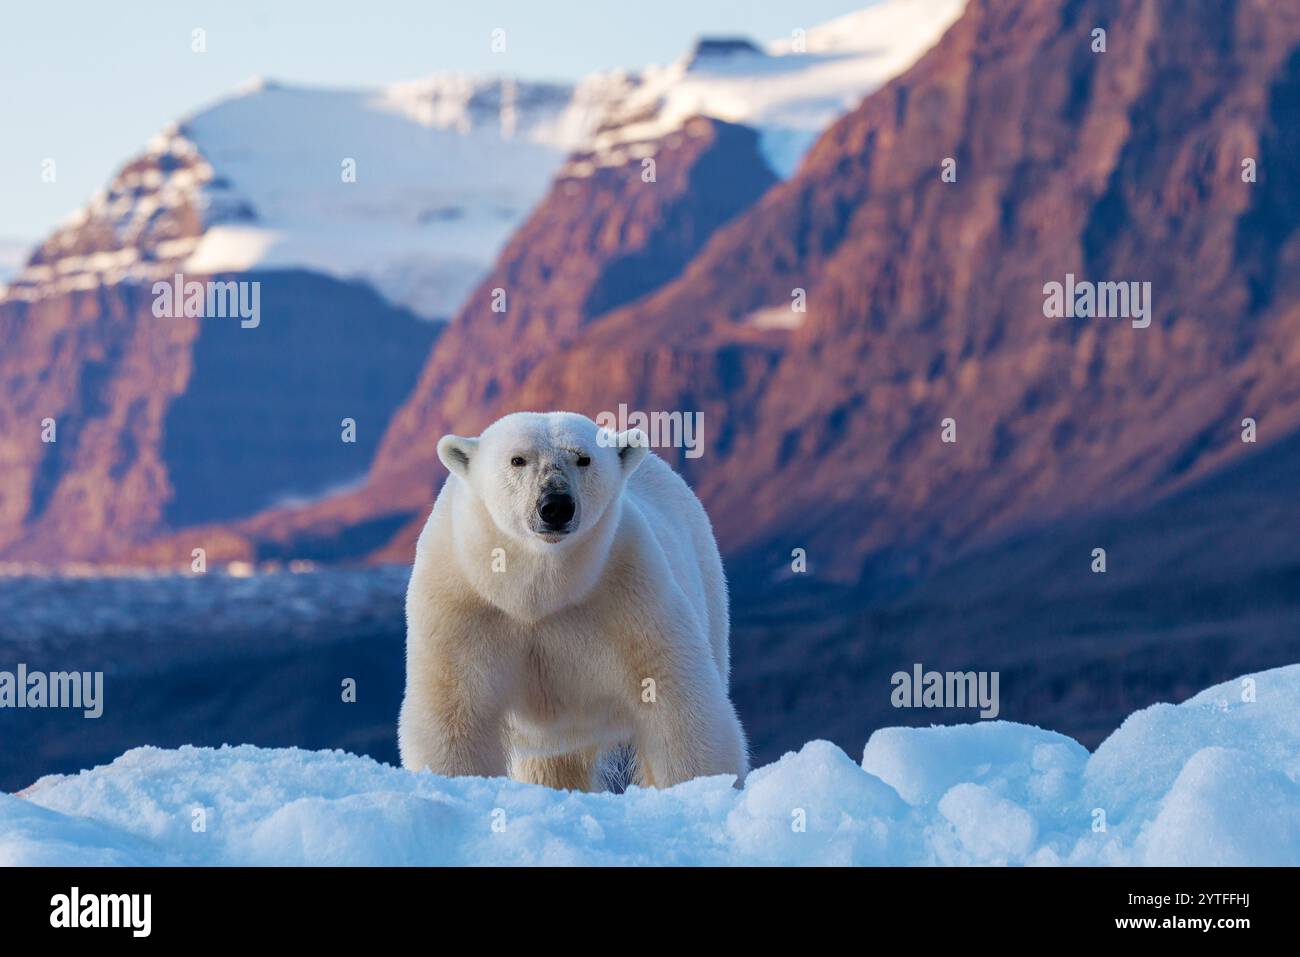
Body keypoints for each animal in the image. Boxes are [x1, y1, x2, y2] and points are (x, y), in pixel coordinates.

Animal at [398, 411, 748, 790]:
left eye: (583, 458)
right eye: (518, 459)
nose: (555, 506)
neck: (537, 593)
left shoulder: (629, 591)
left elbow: (675, 700)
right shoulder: (461, 604)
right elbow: (454, 714)